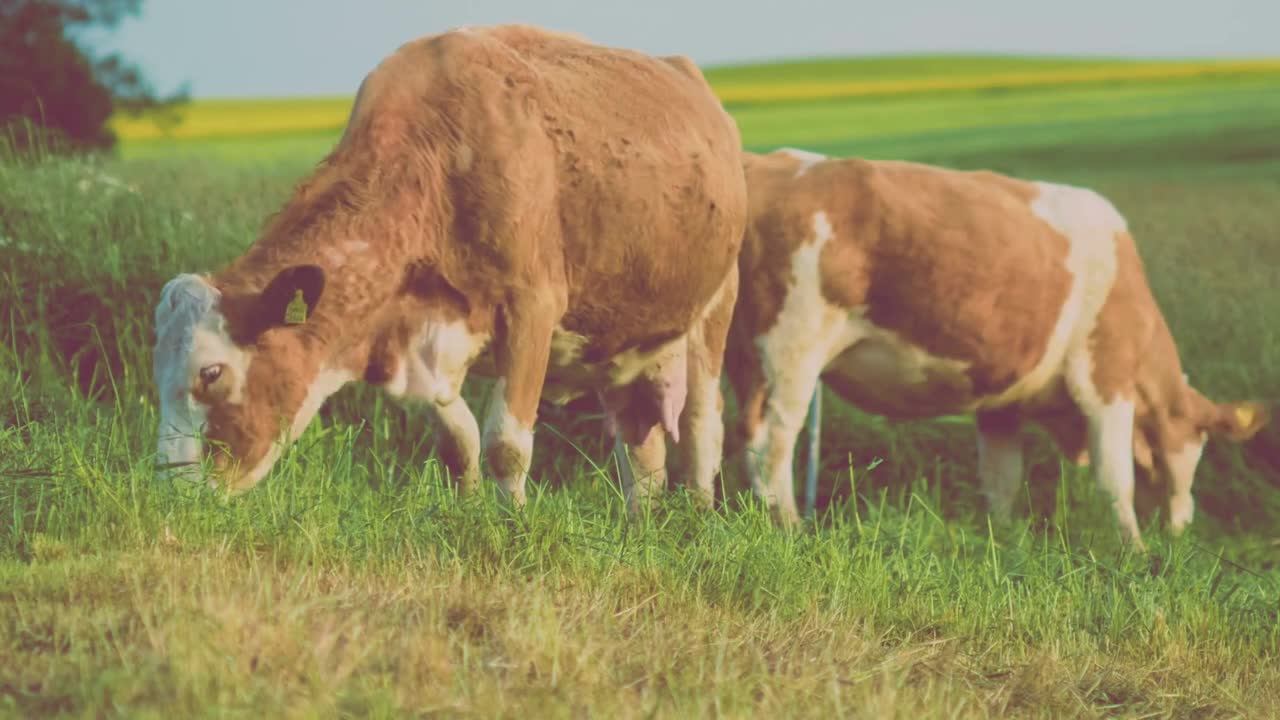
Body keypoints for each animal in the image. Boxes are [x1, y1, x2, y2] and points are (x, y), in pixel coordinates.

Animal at [151, 26, 747, 509]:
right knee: (641, 450)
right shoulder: (419, 334)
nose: (173, 490)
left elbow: (507, 444)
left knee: (702, 425)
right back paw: (638, 525)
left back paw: (698, 516)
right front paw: (469, 512)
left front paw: (512, 525)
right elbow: (457, 441)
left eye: (211, 373)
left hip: (715, 307)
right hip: (622, 340)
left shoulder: (532, 307)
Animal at [727, 148, 1264, 545]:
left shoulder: (1001, 405)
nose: (1180, 530)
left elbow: (1002, 478)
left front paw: (1004, 536)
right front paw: (1134, 549)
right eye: (1196, 443)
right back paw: (789, 526)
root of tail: (765, 161)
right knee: (769, 440)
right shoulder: (1106, 380)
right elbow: (1117, 480)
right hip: (788, 350)